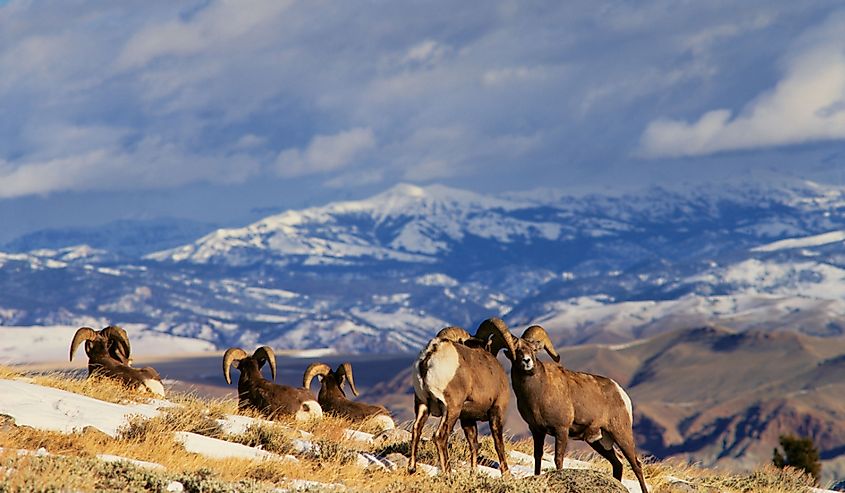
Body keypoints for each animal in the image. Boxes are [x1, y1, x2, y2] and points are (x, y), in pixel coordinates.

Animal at [408, 322, 512, 472]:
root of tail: (430, 355)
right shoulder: (496, 411)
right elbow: (499, 445)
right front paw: (506, 473)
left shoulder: (467, 418)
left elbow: (474, 444)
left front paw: (474, 472)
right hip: (451, 409)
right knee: (440, 436)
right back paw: (448, 473)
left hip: (422, 404)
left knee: (416, 429)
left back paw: (412, 469)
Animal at [478, 320, 648, 492]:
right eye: (518, 350)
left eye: (533, 349)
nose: (527, 361)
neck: (538, 392)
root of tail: (620, 393)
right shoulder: (537, 430)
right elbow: (537, 456)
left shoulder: (561, 430)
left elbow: (558, 459)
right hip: (598, 441)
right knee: (617, 464)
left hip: (621, 435)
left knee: (636, 465)